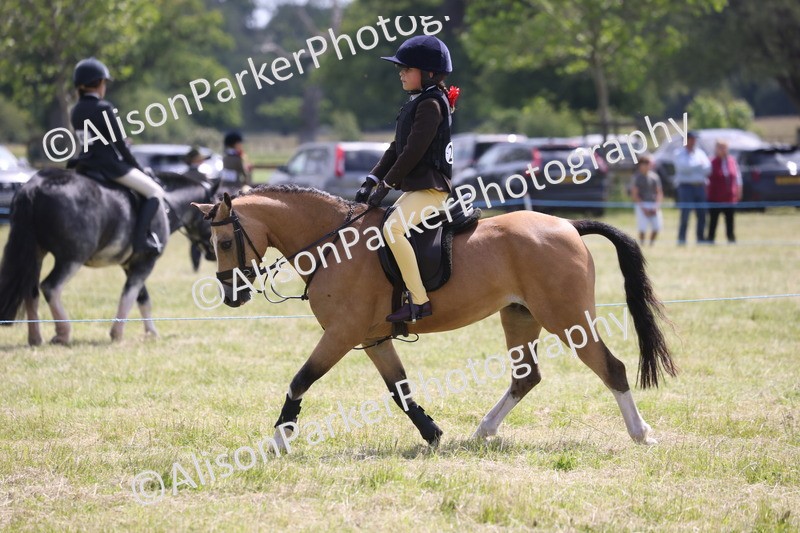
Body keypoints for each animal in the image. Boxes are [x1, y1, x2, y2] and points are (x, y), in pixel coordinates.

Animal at [0, 168, 218, 345]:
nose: (213, 255)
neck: (166, 206)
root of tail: (34, 187)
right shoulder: (145, 262)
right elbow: (129, 296)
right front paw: (117, 333)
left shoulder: (131, 264)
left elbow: (142, 298)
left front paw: (151, 333)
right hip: (72, 258)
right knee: (50, 287)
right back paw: (63, 333)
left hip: (36, 253)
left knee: (31, 291)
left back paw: (35, 338)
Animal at [192, 185, 677, 449]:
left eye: (226, 242)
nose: (231, 295)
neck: (333, 244)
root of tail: (569, 226)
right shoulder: (372, 338)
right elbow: (400, 390)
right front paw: (433, 434)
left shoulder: (342, 333)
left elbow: (301, 379)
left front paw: (278, 439)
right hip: (520, 317)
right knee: (526, 377)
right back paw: (482, 431)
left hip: (567, 318)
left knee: (610, 367)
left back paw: (641, 433)